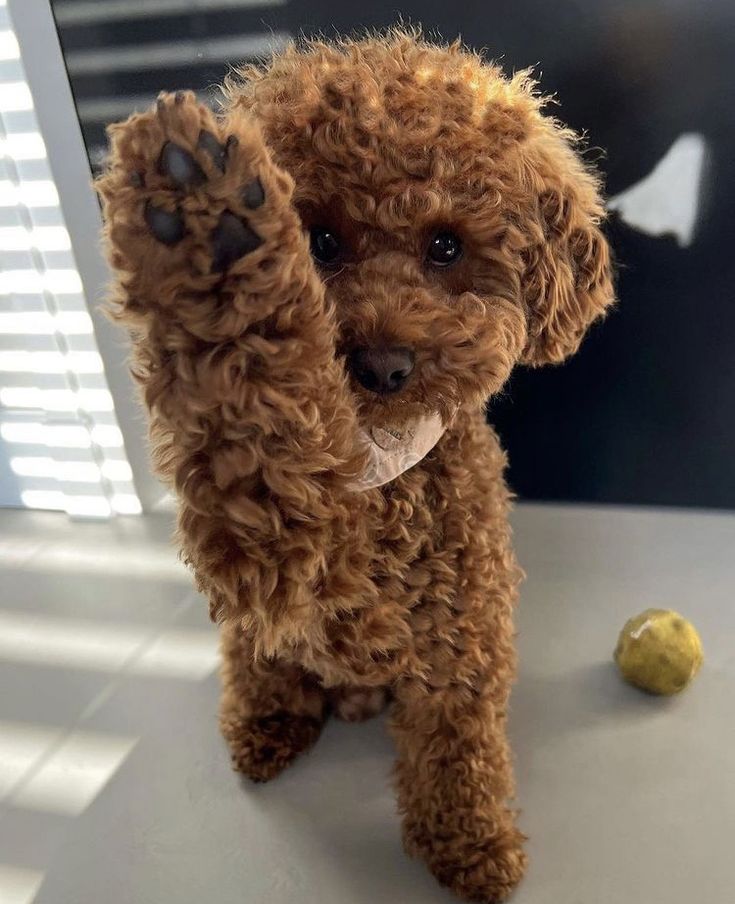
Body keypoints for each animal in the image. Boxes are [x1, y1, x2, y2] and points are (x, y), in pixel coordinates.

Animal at [98, 30, 616, 904]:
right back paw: (265, 723)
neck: (383, 481)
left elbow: (456, 751)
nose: (381, 365)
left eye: (445, 245)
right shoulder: (266, 555)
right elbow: (250, 427)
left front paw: (467, 846)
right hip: (254, 643)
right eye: (322, 241)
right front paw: (207, 227)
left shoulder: (460, 638)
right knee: (257, 666)